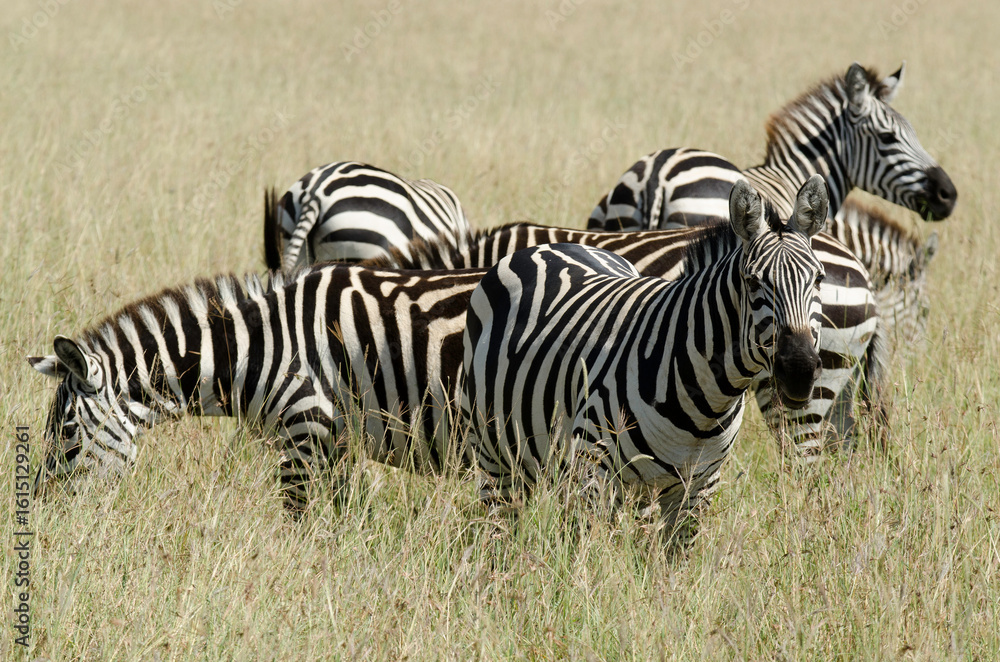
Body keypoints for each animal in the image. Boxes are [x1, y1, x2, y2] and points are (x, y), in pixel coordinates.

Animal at [462, 178, 827, 525]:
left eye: (819, 280)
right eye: (753, 282)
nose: (800, 371)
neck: (707, 405)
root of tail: (547, 246)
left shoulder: (698, 489)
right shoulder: (593, 475)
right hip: (495, 455)